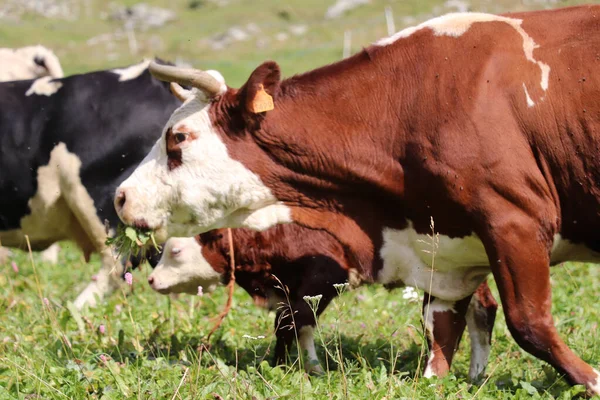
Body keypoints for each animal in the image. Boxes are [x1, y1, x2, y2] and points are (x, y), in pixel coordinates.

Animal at [149, 227, 496, 380]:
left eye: (176, 251)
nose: (151, 280)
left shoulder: (322, 281)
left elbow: (295, 324)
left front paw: (297, 367)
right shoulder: (289, 290)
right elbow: (291, 326)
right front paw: (293, 365)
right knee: (483, 309)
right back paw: (476, 374)